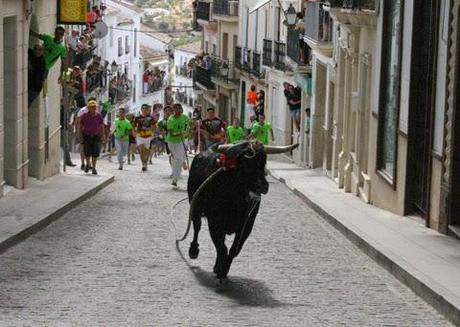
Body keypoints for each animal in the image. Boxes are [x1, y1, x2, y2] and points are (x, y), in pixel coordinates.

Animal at [187, 140, 298, 280]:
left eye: (264, 161)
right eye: (245, 163)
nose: (262, 186)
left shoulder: (247, 225)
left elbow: (234, 249)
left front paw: (223, 269)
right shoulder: (215, 222)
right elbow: (221, 247)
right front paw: (220, 269)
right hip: (195, 205)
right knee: (197, 226)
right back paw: (194, 250)